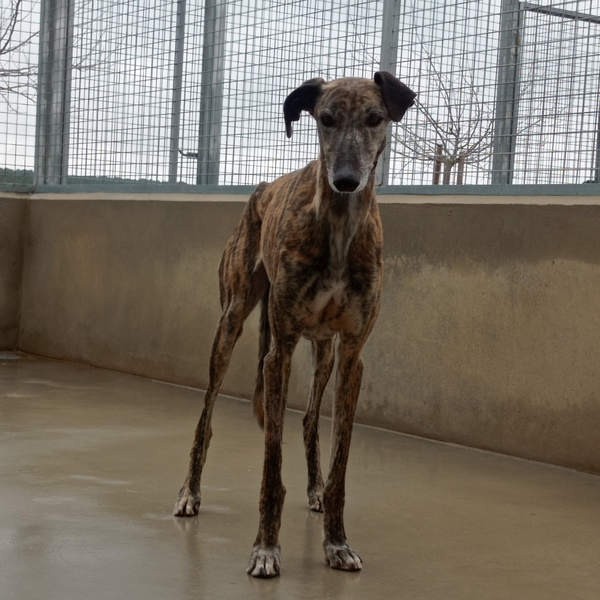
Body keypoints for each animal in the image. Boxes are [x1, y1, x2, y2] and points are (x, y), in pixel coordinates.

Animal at [174, 72, 416, 577]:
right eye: (325, 118)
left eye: (375, 118)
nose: (346, 181)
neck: (338, 227)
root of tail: (264, 186)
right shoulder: (279, 351)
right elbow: (271, 463)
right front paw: (266, 547)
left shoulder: (352, 355)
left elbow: (340, 462)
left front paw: (337, 541)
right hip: (230, 323)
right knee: (206, 418)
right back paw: (190, 492)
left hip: (323, 350)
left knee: (307, 420)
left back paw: (314, 490)